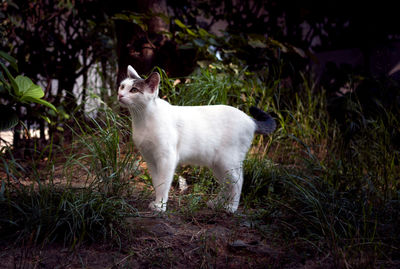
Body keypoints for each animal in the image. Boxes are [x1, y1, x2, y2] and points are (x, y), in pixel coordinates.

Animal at [119, 65, 276, 211]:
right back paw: (218, 203)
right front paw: (158, 202)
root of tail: (249, 119)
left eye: (134, 90)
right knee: (227, 185)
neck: (142, 119)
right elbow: (157, 183)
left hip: (228, 162)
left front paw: (160, 206)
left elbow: (163, 184)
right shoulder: (150, 160)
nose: (120, 95)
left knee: (238, 182)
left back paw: (231, 207)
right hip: (218, 165)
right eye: (122, 86)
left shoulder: (166, 158)